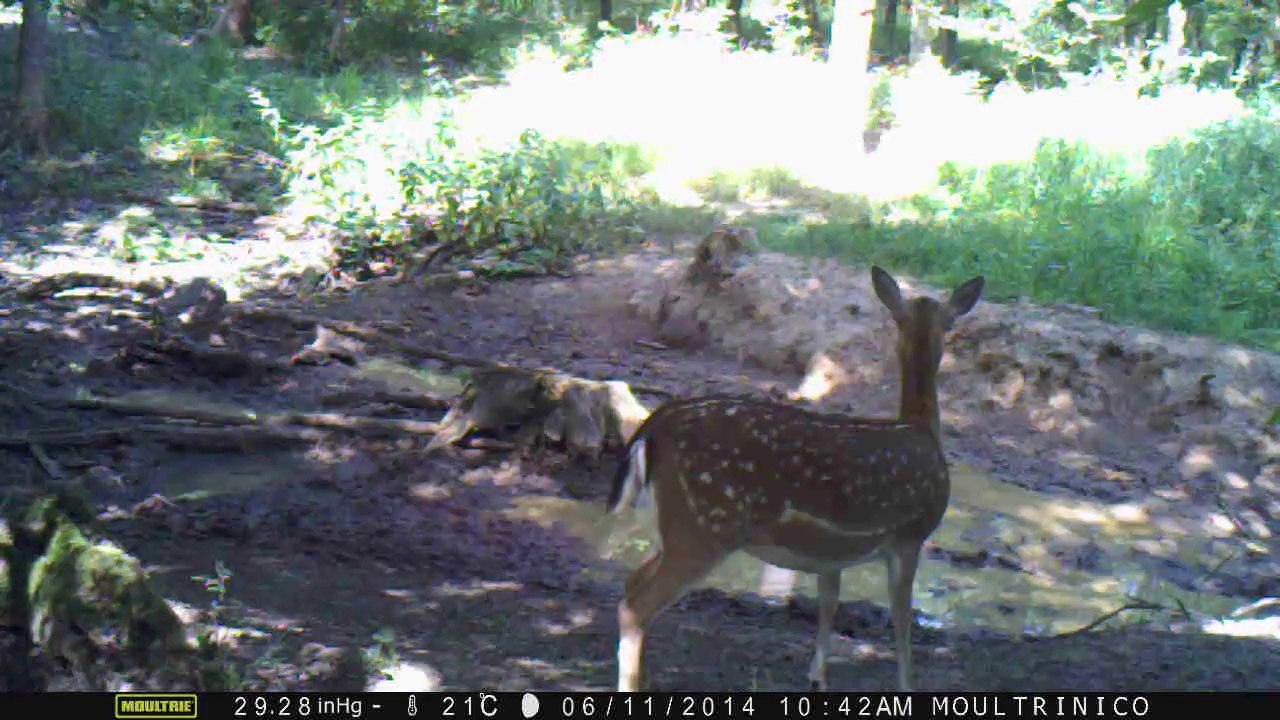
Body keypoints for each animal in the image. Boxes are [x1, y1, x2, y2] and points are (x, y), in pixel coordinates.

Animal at [606, 265, 985, 692]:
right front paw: (907, 685)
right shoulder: (910, 536)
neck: (922, 429)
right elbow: (901, 618)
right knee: (637, 605)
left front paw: (817, 676)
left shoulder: (832, 551)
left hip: (678, 523)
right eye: (950, 323)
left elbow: (829, 602)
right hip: (704, 525)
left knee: (631, 584)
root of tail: (655, 425)